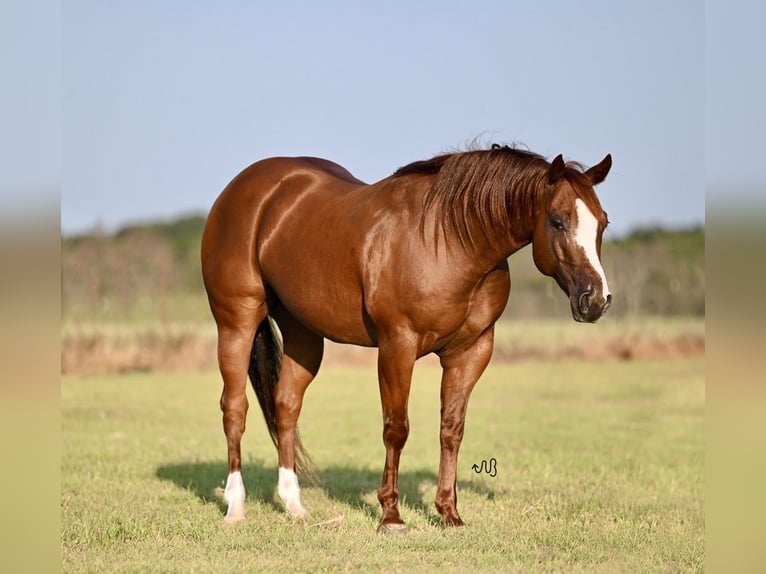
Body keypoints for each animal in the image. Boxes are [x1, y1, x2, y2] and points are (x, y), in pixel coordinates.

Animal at [201, 144, 616, 536]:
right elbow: (396, 428)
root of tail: (245, 189)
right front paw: (391, 516)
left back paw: (295, 506)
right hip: (237, 323)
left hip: (303, 335)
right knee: (234, 409)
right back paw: (236, 507)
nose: (595, 300)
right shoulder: (397, 346)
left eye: (602, 223)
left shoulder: (470, 353)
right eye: (557, 221)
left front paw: (449, 514)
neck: (451, 241)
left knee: (285, 407)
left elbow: (451, 430)